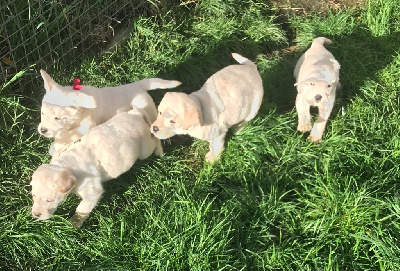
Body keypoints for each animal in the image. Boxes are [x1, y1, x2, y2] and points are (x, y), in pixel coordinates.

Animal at [30, 94, 162, 228]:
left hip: (145, 150)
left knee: (155, 140)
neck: (68, 166)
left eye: (49, 200)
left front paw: (74, 223)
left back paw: (159, 151)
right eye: (33, 195)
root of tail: (137, 114)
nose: (35, 214)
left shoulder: (92, 193)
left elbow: (82, 209)